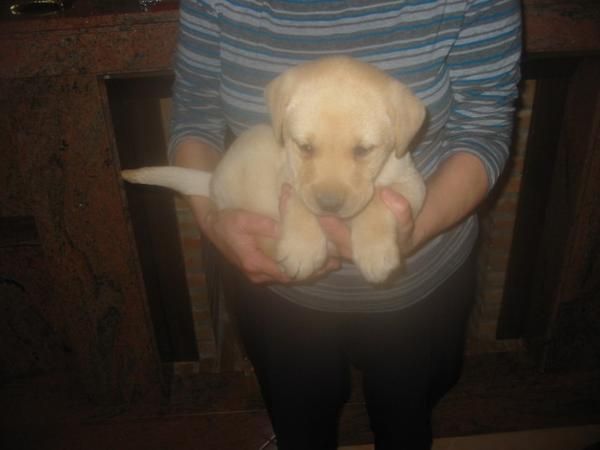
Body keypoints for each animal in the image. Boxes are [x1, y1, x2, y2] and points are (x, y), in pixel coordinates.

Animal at [120, 55, 426, 282]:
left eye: (363, 151)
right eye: (304, 147)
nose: (328, 206)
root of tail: (211, 180)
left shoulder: (411, 185)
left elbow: (377, 202)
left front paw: (375, 252)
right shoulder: (289, 177)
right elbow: (298, 200)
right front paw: (302, 249)